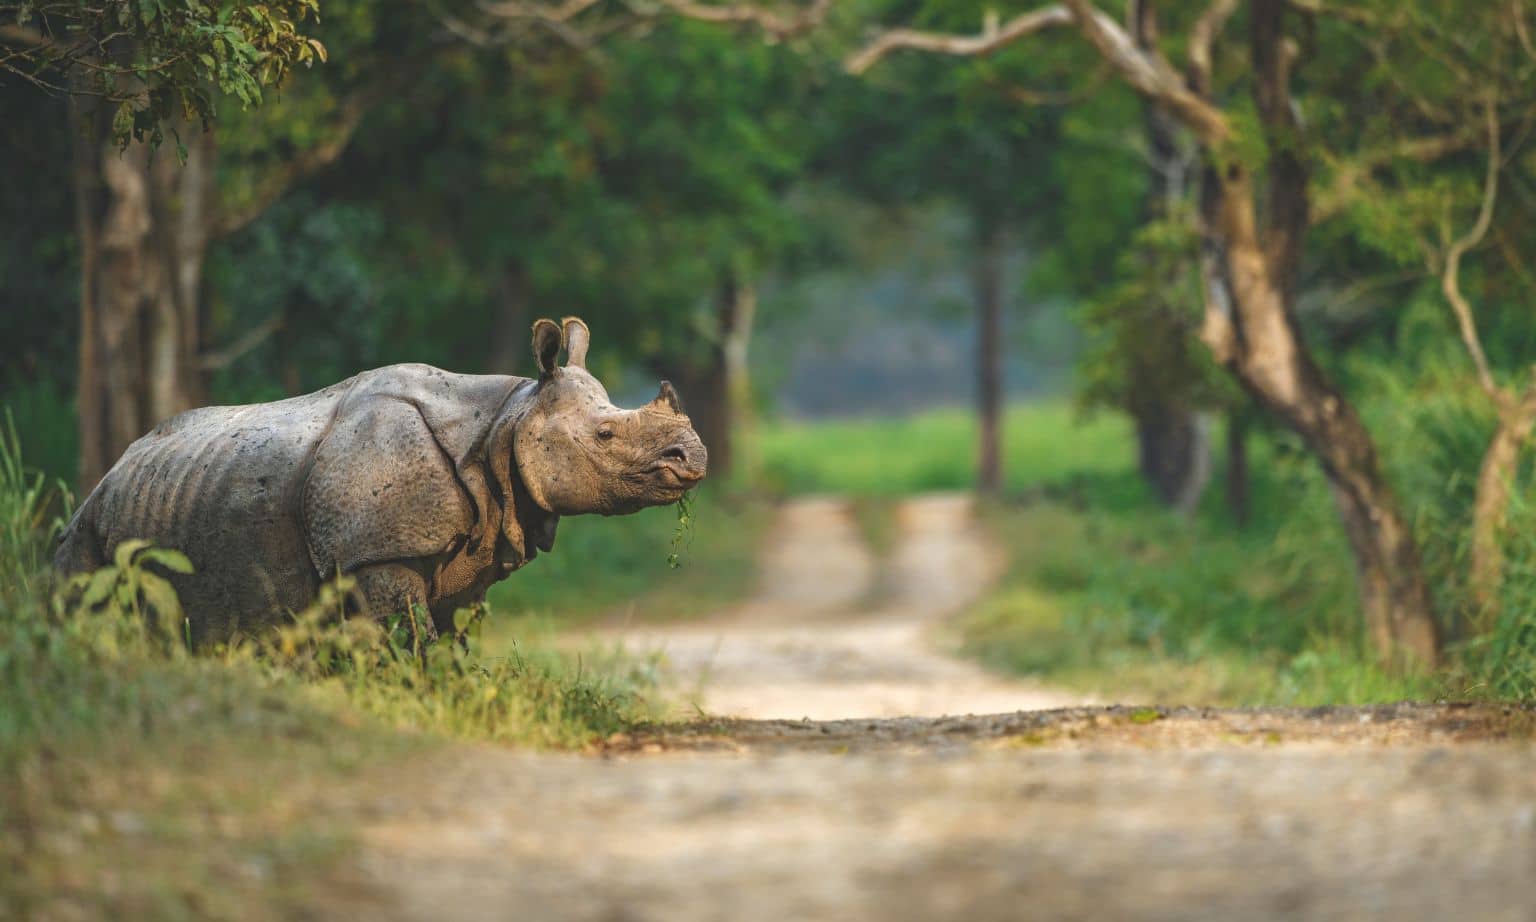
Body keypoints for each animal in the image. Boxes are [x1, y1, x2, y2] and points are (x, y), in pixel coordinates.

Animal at [54, 317, 707, 644]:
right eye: (605, 435)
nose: (694, 458)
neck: (505, 422)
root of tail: (110, 473)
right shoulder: (376, 553)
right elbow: (409, 640)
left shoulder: (470, 549)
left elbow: (449, 642)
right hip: (89, 526)